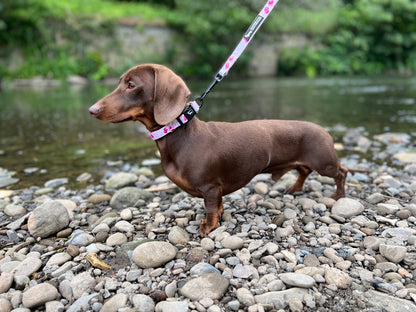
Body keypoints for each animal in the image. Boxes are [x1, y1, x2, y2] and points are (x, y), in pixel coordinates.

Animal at [90, 65, 348, 236]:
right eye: (120, 82)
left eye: (132, 85)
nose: (92, 110)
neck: (180, 134)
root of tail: (323, 130)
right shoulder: (216, 189)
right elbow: (219, 205)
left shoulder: (210, 187)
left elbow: (211, 208)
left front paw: (208, 225)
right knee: (303, 171)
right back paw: (294, 188)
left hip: (324, 163)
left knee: (341, 172)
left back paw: (339, 195)